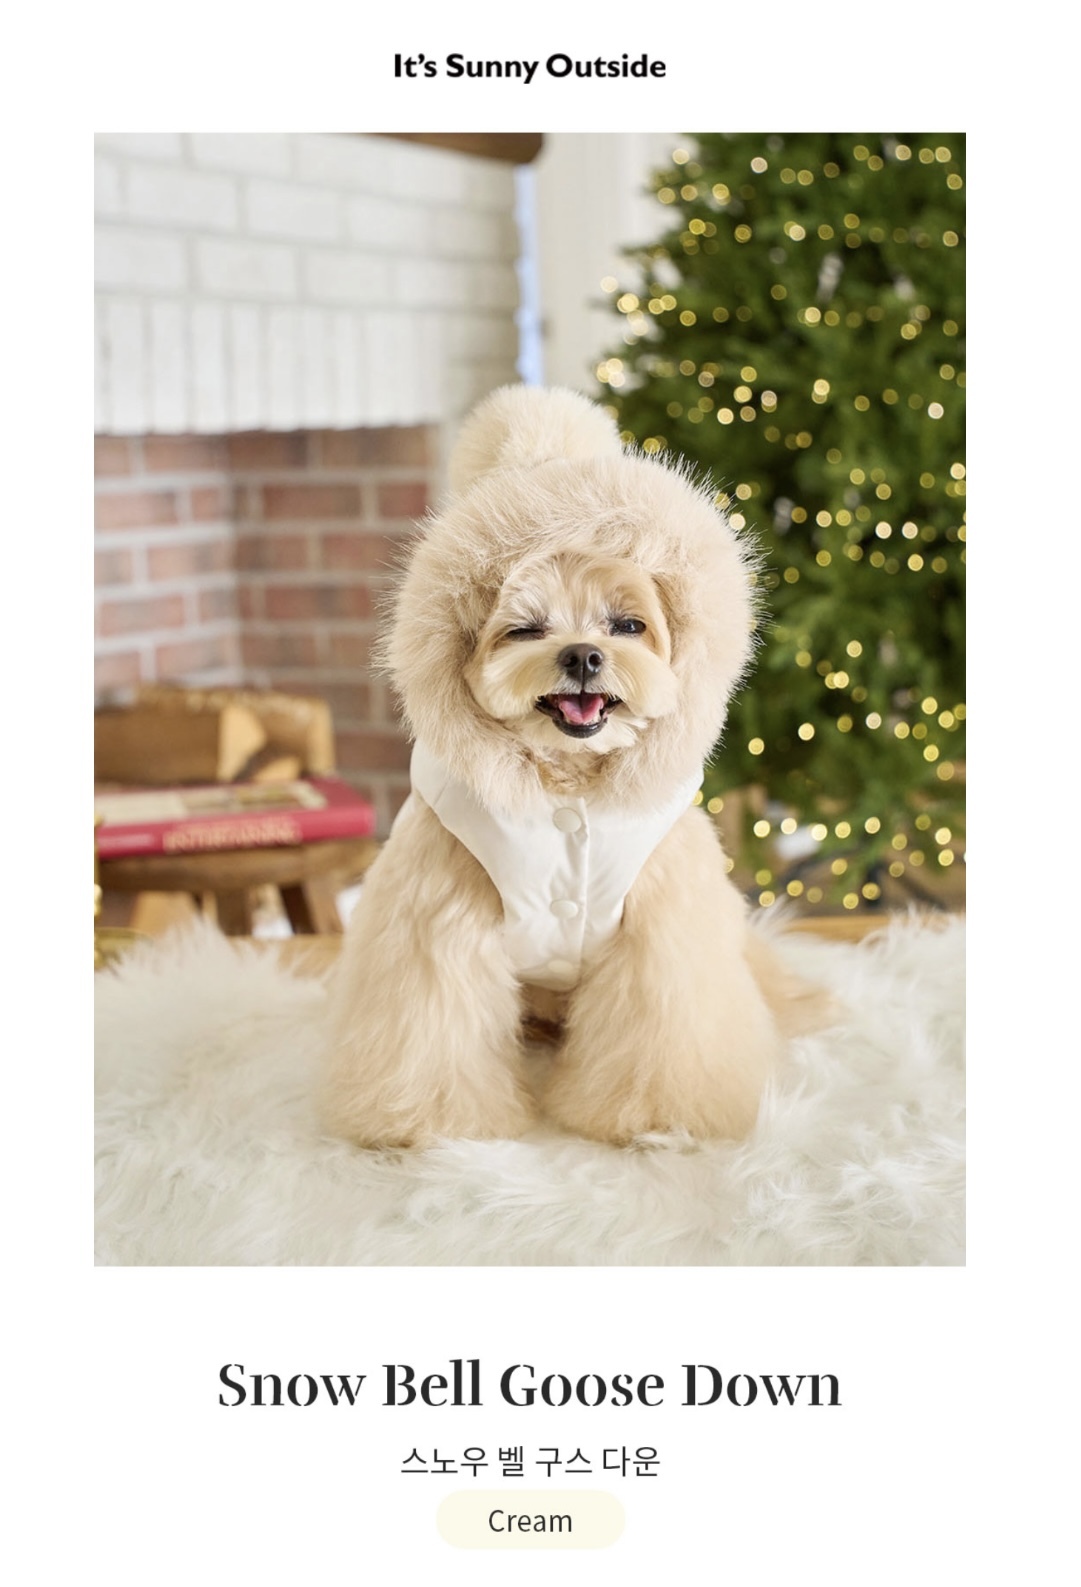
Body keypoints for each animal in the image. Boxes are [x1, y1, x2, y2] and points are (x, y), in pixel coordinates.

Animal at [321, 385, 826, 1148]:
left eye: (628, 625)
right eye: (524, 629)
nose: (584, 655)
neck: (566, 787)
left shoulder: (659, 940)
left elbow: (660, 1033)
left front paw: (653, 1119)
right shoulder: (437, 934)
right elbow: (435, 1033)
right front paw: (435, 1124)